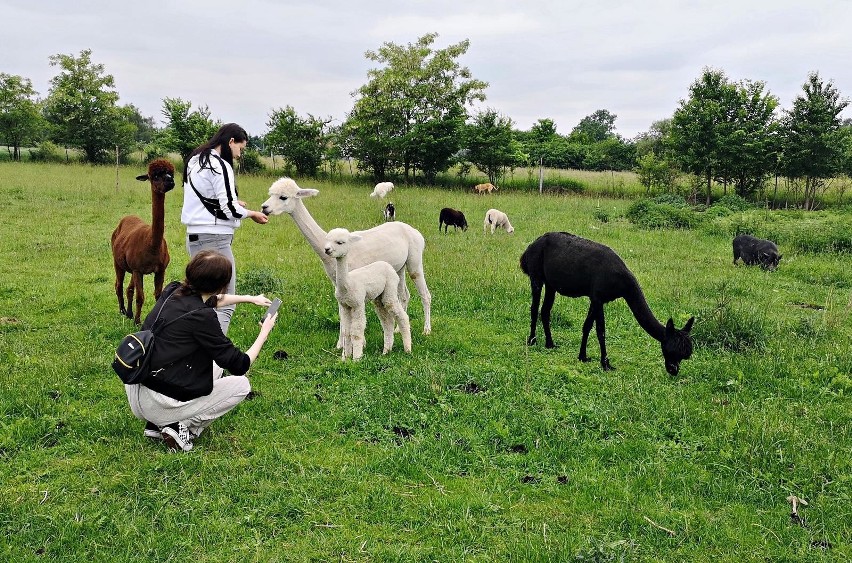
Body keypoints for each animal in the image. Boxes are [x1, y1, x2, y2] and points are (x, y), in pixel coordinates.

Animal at [110, 160, 176, 326]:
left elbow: (158, 295)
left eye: (170, 173)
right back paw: (122, 310)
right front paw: (138, 322)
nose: (170, 181)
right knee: (119, 285)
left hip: (131, 266)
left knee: (129, 289)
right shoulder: (138, 269)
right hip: (118, 260)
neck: (152, 245)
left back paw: (129, 313)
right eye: (155, 176)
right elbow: (141, 297)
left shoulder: (160, 269)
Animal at [260, 176, 432, 346]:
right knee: (404, 295)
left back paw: (426, 330)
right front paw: (340, 345)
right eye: (270, 194)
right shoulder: (337, 283)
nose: (264, 207)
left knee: (424, 293)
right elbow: (341, 313)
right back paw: (397, 329)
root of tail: (416, 232)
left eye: (283, 197)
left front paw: (358, 343)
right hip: (398, 267)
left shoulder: (354, 280)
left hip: (415, 258)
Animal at [322, 229, 412, 362]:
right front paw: (345, 358)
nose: (327, 249)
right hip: (379, 297)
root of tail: (387, 265)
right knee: (387, 321)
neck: (347, 285)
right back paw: (386, 351)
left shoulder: (358, 303)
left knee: (401, 316)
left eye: (340, 242)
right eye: (327, 240)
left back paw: (407, 349)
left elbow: (357, 331)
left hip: (390, 288)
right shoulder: (345, 305)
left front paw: (356, 358)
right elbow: (346, 331)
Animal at [520, 231, 692, 376]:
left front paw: (583, 356)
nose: (673, 370)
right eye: (671, 350)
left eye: (685, 354)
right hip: (536, 273)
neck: (620, 280)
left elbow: (587, 326)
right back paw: (532, 340)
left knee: (545, 310)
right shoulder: (598, 297)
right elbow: (600, 331)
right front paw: (605, 364)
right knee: (534, 308)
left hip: (551, 284)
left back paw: (550, 343)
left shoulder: (595, 298)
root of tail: (530, 247)